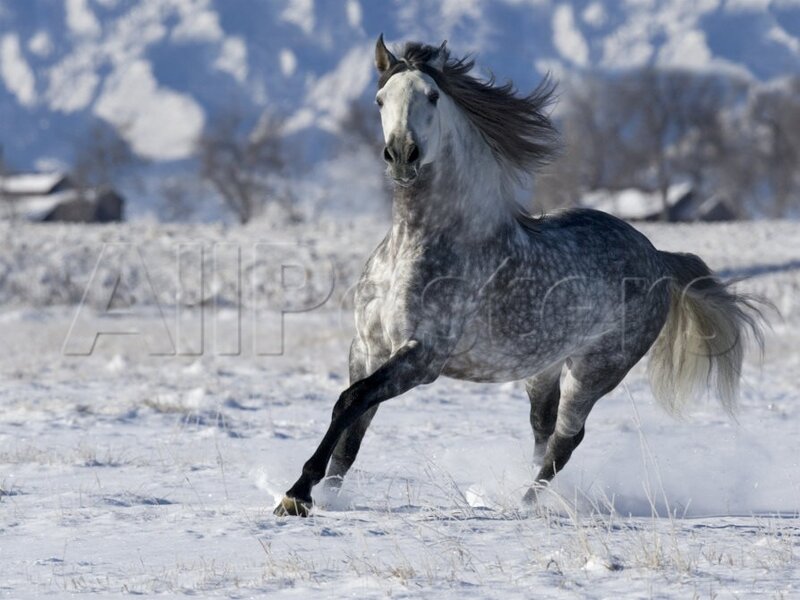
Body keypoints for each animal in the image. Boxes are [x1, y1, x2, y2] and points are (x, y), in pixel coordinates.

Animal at [274, 35, 765, 517]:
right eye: (380, 99)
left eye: (432, 96)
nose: (401, 156)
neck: (419, 243)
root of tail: (658, 257)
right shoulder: (367, 347)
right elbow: (352, 428)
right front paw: (327, 496)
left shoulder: (422, 357)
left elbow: (351, 401)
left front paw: (298, 494)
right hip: (542, 369)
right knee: (542, 433)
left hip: (596, 370)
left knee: (566, 440)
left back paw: (523, 504)